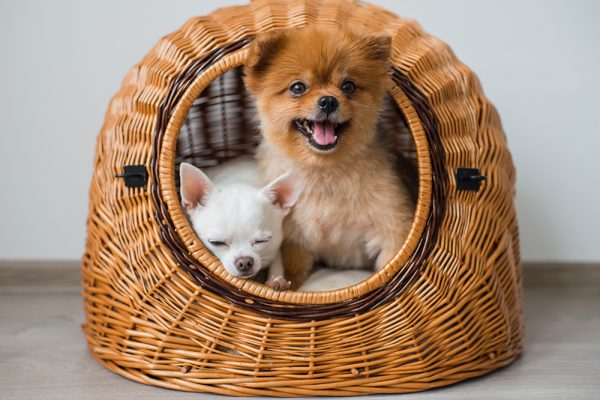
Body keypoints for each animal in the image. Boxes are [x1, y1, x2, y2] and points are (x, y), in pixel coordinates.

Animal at [178, 156, 300, 290]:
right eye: (216, 242)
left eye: (262, 241)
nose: (245, 262)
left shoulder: (274, 247)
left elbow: (277, 261)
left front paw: (276, 280)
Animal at [244, 25, 412, 288]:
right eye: (298, 87)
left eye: (348, 86)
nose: (328, 101)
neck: (324, 170)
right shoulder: (295, 241)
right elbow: (292, 272)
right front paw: (280, 284)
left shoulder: (393, 230)